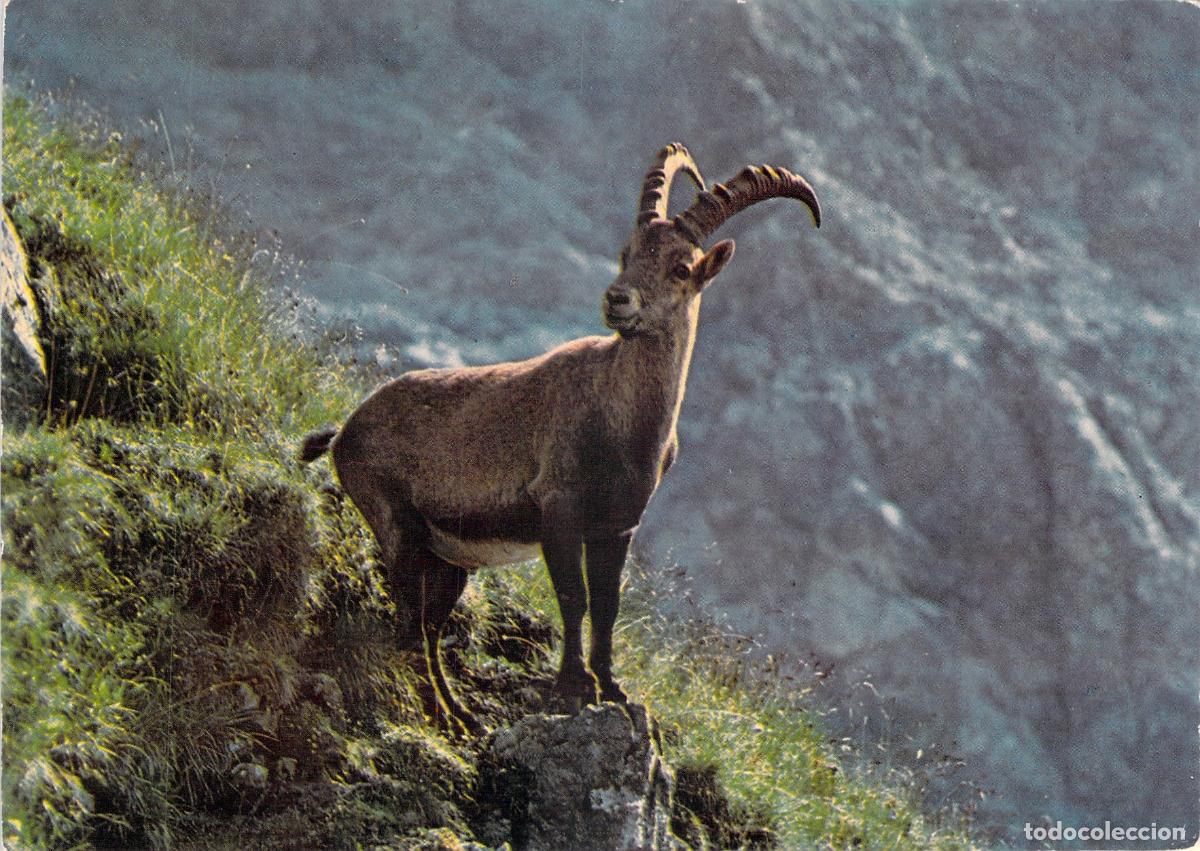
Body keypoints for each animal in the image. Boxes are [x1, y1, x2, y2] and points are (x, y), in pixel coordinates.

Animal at [300, 144, 821, 734]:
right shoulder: (559, 509)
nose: (618, 299)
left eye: (680, 267)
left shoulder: (618, 525)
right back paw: (441, 716)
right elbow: (574, 598)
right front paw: (574, 686)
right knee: (409, 627)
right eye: (625, 253)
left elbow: (608, 604)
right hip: (398, 526)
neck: (623, 423)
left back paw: (461, 715)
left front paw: (611, 687)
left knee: (429, 629)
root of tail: (345, 429)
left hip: (449, 558)